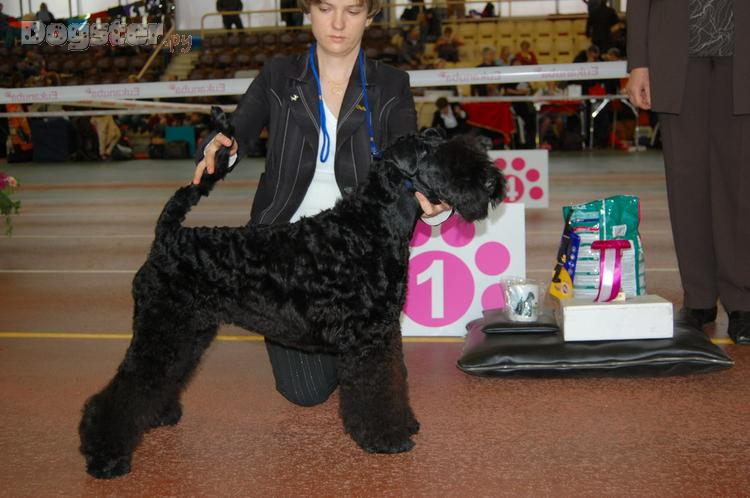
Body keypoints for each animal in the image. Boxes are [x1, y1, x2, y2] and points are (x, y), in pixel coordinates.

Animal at [79, 107, 506, 479]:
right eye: (441, 157)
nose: (492, 183)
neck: (368, 227)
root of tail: (167, 237)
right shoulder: (367, 337)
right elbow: (376, 387)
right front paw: (387, 437)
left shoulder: (385, 331)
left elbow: (393, 378)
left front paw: (403, 423)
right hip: (163, 328)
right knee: (126, 388)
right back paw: (105, 455)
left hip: (190, 333)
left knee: (162, 377)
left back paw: (157, 415)